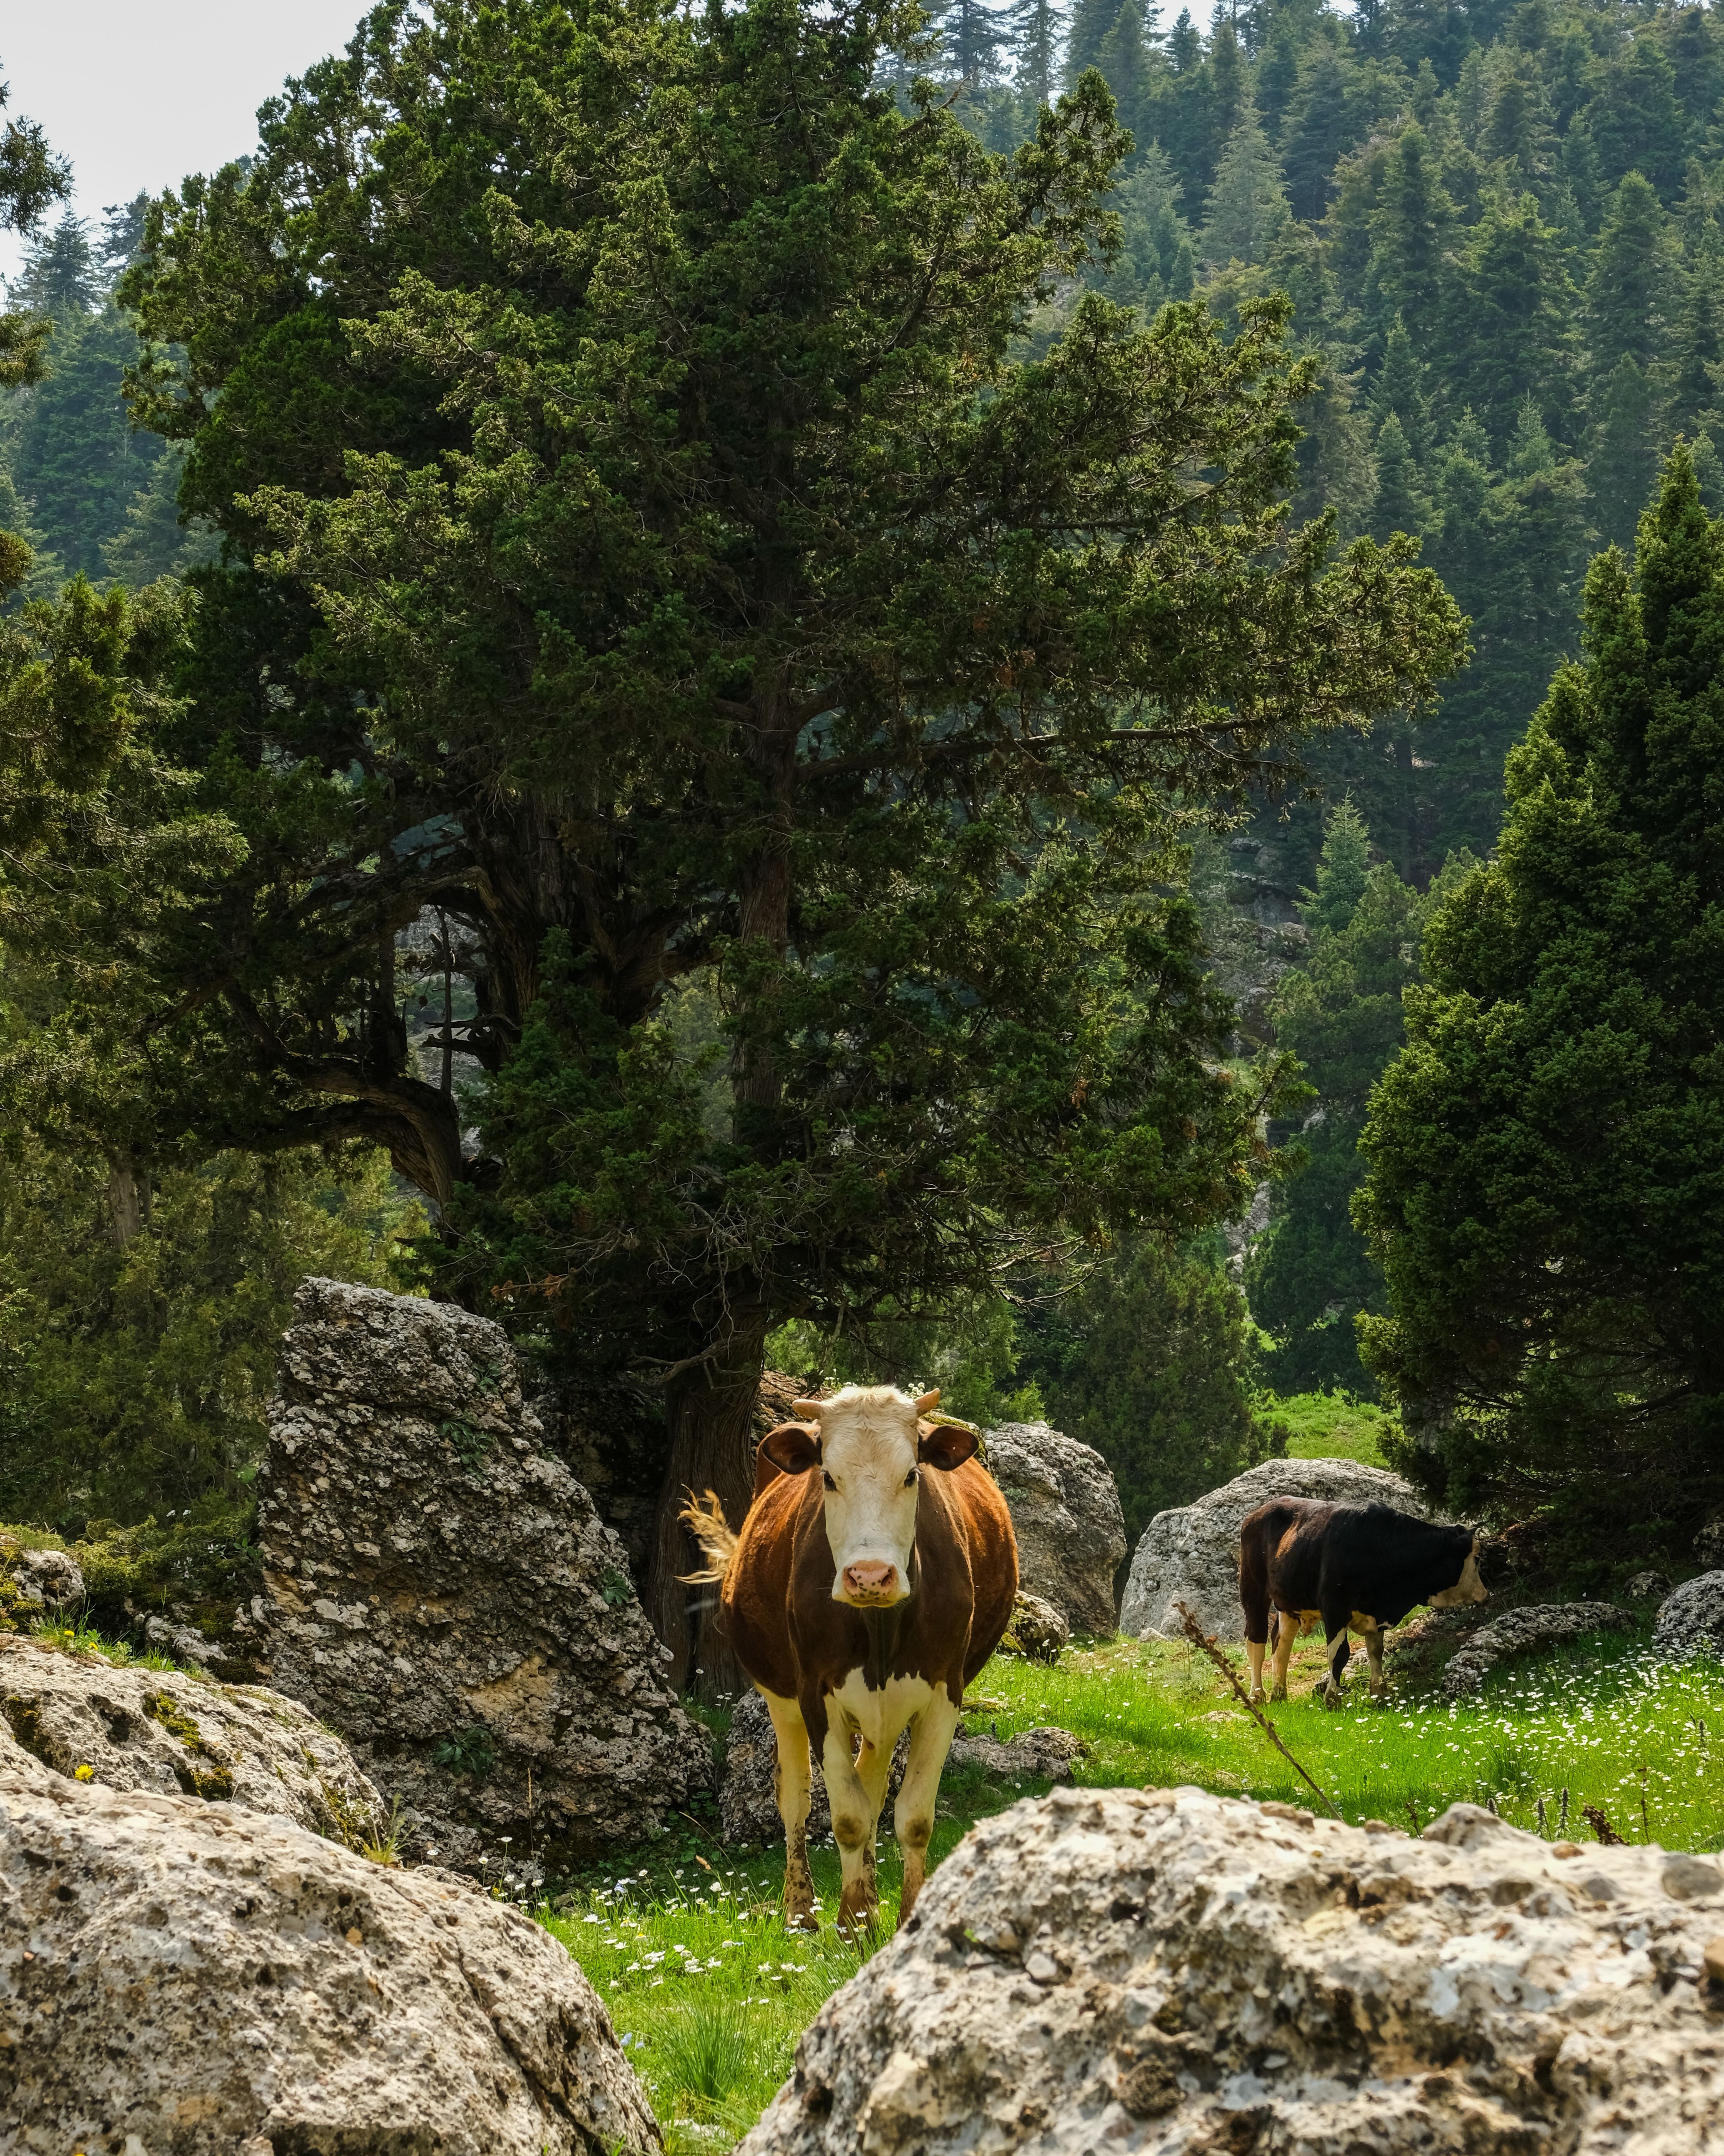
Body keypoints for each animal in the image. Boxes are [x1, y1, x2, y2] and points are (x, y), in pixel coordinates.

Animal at [682, 1384, 1017, 1936]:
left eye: (912, 1475)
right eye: (828, 1478)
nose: (870, 1576)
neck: (878, 1625)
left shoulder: (945, 1692)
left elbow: (911, 1818)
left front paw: (896, 1915)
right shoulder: (816, 1693)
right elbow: (848, 1817)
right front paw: (852, 1923)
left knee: (873, 1784)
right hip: (781, 1697)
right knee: (795, 1796)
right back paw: (801, 1910)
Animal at [1239, 1497, 1487, 1707]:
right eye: (1477, 1558)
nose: (1484, 1593)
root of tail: (1257, 1513)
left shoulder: (1376, 1613)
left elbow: (1376, 1652)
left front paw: (1380, 1694)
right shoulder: (1335, 1609)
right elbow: (1339, 1655)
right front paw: (1332, 1699)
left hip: (1290, 1603)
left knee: (1281, 1643)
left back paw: (1279, 1694)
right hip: (1253, 1591)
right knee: (1256, 1640)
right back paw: (1257, 1695)